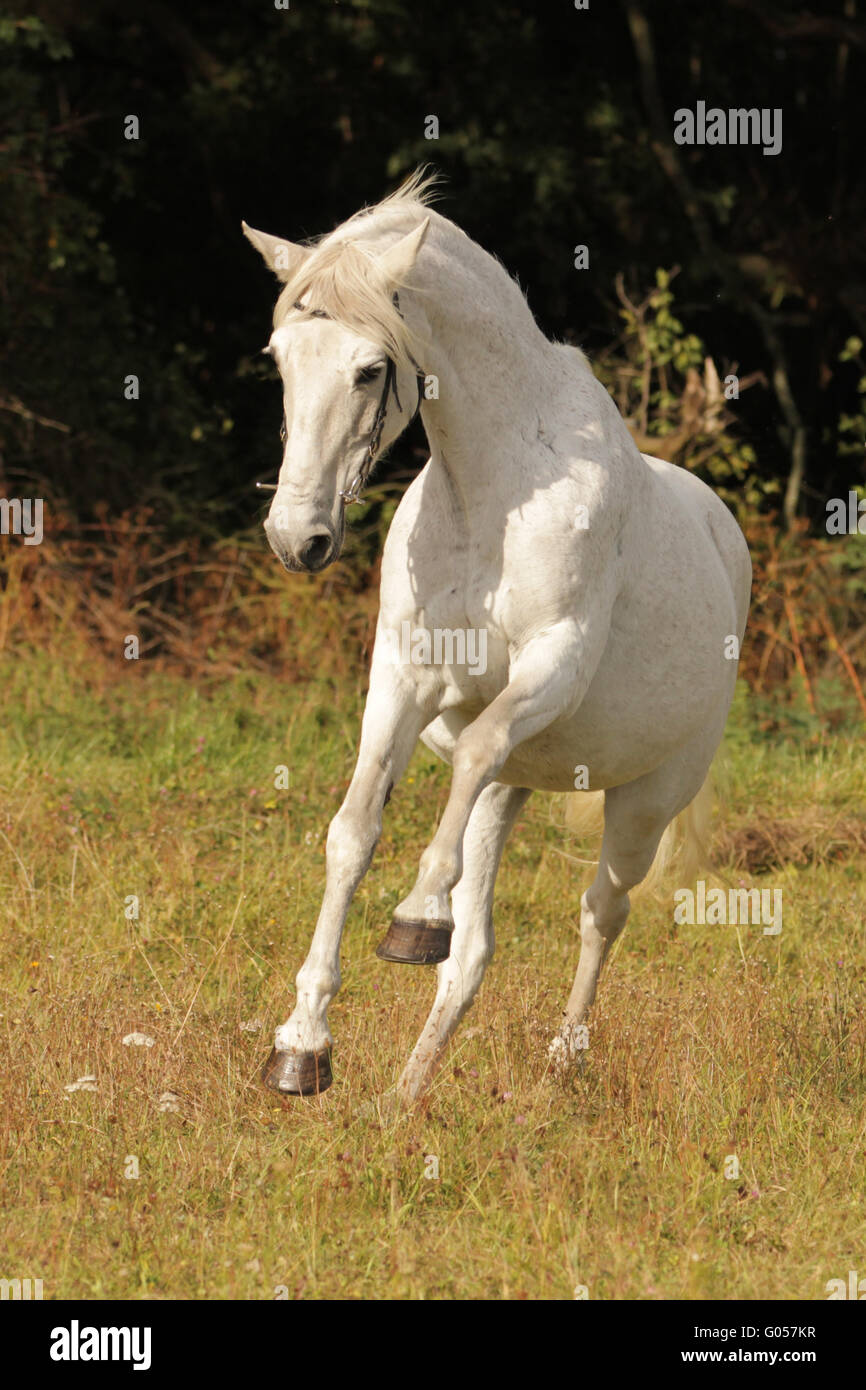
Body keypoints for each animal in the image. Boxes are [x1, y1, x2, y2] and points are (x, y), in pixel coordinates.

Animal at [242, 170, 751, 1107]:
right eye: (280, 359)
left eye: (370, 369)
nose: (299, 539)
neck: (495, 491)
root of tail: (721, 535)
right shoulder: (404, 679)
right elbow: (353, 830)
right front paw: (302, 1047)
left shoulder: (553, 666)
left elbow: (474, 748)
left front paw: (410, 920)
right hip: (516, 790)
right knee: (472, 953)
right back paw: (403, 1099)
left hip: (646, 799)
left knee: (602, 911)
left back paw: (562, 1061)